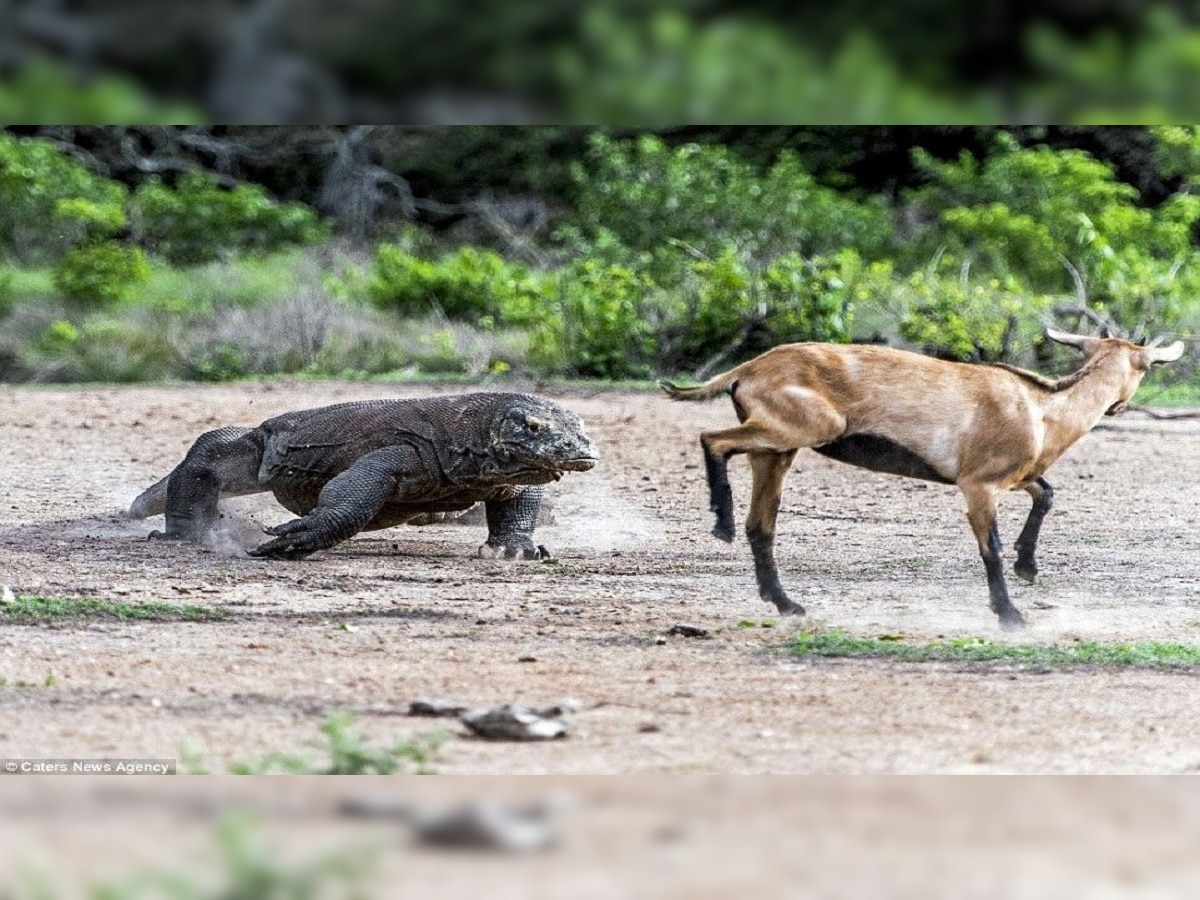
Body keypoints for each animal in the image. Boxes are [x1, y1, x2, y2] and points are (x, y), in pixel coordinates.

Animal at [662, 328, 1185, 628]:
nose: (1118, 407)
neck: (1042, 410)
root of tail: (747, 369)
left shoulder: (1016, 476)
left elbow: (1047, 494)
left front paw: (1028, 566)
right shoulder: (978, 485)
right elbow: (990, 547)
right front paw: (1010, 614)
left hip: (777, 451)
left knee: (762, 524)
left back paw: (786, 603)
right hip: (804, 428)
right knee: (713, 440)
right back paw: (722, 523)